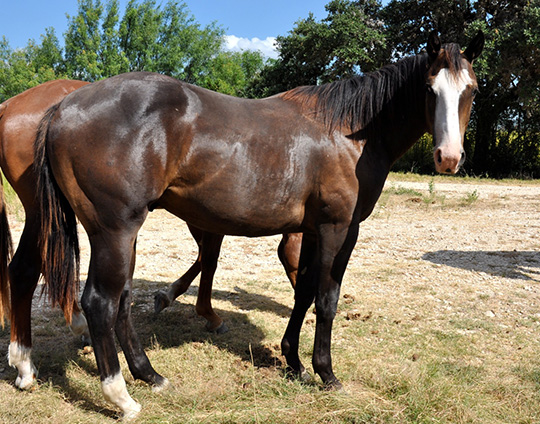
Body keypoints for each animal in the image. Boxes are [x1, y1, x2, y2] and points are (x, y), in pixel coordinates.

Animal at [33, 32, 486, 418]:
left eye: (472, 90)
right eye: (429, 89)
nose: (449, 157)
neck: (348, 134)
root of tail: (63, 108)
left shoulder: (310, 231)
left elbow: (303, 292)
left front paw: (294, 361)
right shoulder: (339, 229)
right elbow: (326, 299)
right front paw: (325, 372)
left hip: (123, 235)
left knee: (123, 301)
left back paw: (150, 375)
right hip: (115, 231)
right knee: (100, 302)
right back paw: (121, 397)